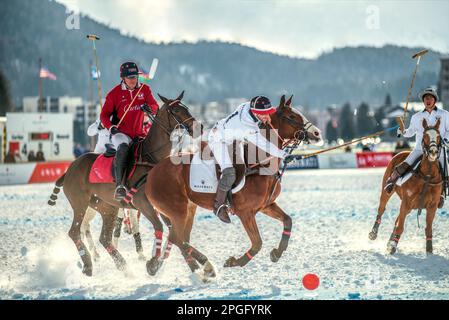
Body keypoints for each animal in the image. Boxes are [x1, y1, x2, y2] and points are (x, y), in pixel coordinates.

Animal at [46, 92, 200, 276]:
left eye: (187, 108)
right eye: (176, 110)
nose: (199, 127)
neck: (151, 158)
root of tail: (69, 170)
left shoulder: (161, 206)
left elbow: (175, 233)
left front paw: (198, 265)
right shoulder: (142, 203)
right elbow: (161, 228)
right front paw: (153, 263)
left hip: (107, 207)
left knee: (104, 237)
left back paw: (122, 266)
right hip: (80, 203)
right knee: (76, 231)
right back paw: (89, 263)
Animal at [142, 95, 320, 280]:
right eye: (291, 116)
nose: (316, 133)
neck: (260, 164)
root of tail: (151, 172)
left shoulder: (266, 206)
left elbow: (288, 221)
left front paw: (276, 253)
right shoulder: (245, 212)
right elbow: (257, 243)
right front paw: (234, 262)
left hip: (188, 209)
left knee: (179, 238)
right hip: (177, 210)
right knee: (177, 238)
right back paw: (206, 265)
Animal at [370, 117, 442, 255]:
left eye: (439, 136)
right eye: (425, 135)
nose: (433, 152)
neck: (427, 176)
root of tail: (400, 152)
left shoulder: (432, 205)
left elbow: (428, 227)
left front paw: (429, 250)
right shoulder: (407, 201)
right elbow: (401, 226)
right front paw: (393, 246)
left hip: (410, 206)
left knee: (397, 219)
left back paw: (390, 240)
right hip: (387, 191)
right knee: (382, 209)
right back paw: (374, 233)